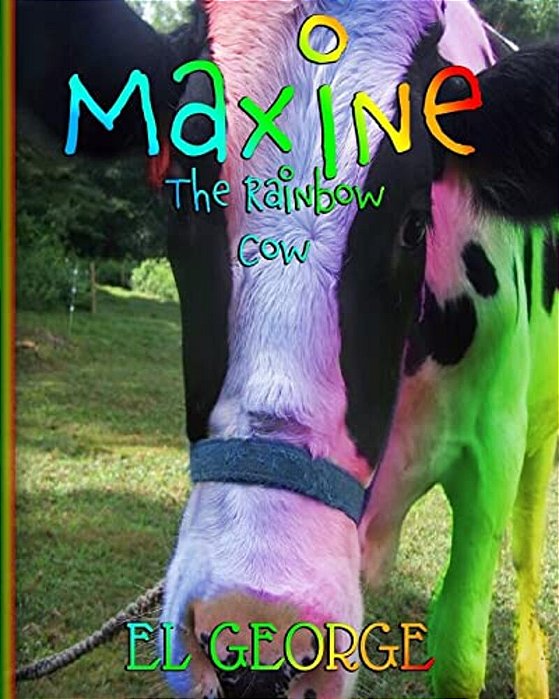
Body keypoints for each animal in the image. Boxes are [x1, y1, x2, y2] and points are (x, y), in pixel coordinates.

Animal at [17, 1, 558, 698]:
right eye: (181, 197)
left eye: (414, 224)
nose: (257, 640)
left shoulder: (495, 441)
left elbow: (459, 652)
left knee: (527, 550)